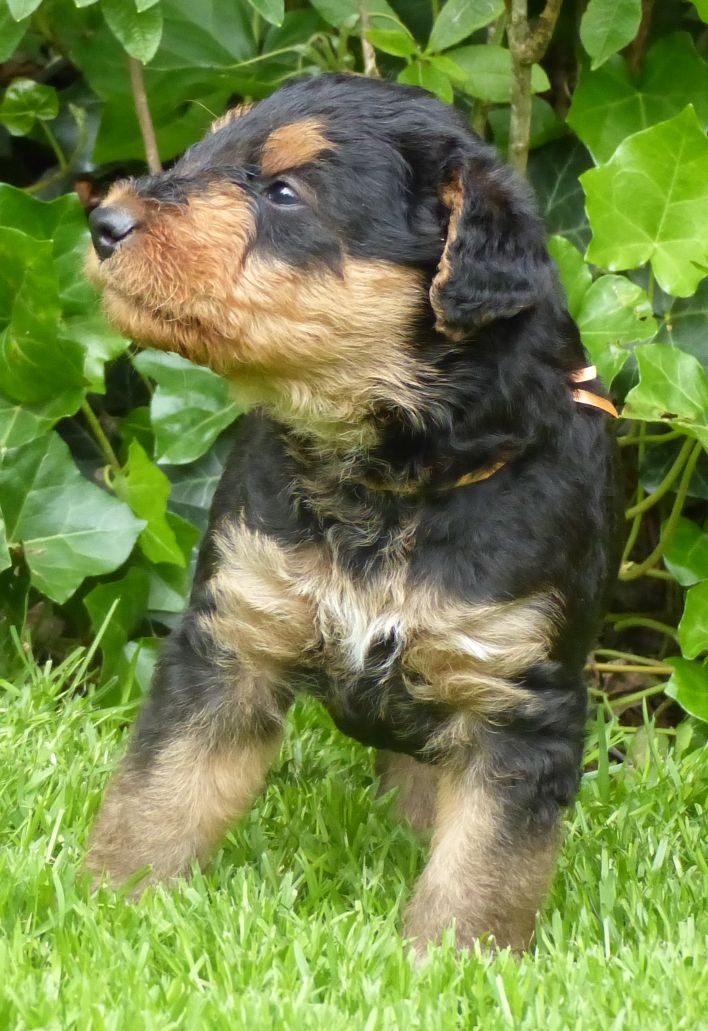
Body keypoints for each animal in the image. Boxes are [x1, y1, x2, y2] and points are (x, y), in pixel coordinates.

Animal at [85, 73, 620, 953]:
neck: (384, 479)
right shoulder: (230, 637)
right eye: (206, 149)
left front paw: (452, 962)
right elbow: (161, 792)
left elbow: (486, 866)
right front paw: (108, 904)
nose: (104, 223)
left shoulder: (518, 699)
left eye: (284, 192)